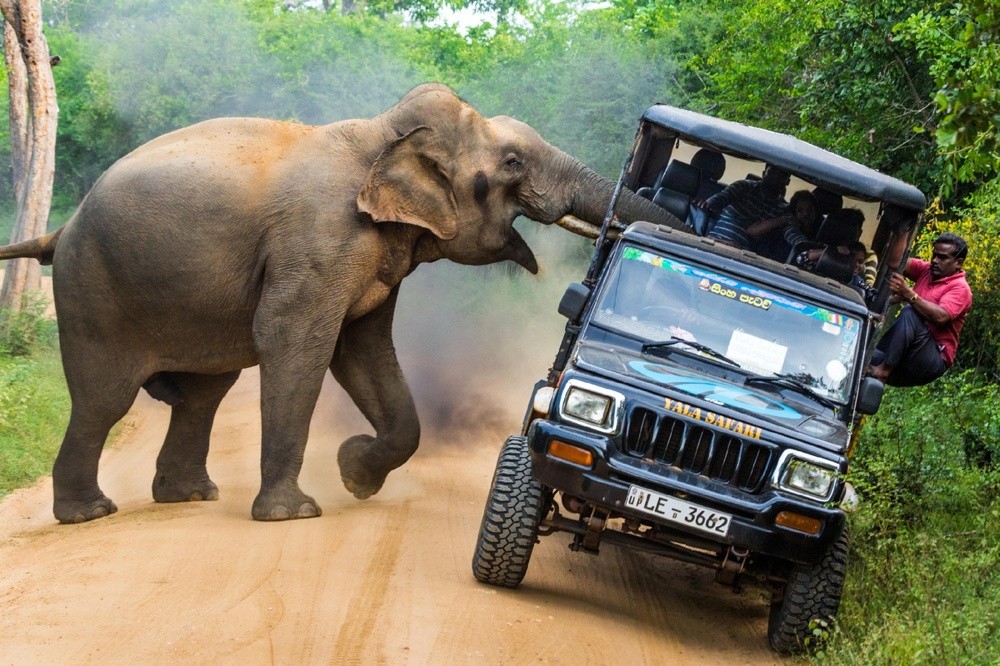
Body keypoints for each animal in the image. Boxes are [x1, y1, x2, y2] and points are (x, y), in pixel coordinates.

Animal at [0, 83, 688, 520]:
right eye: (514, 163)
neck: (382, 136)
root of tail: (62, 230)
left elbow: (363, 351)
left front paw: (354, 474)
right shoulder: (319, 241)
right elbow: (297, 341)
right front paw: (295, 513)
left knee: (202, 395)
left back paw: (191, 498)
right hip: (93, 291)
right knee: (105, 400)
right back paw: (90, 513)